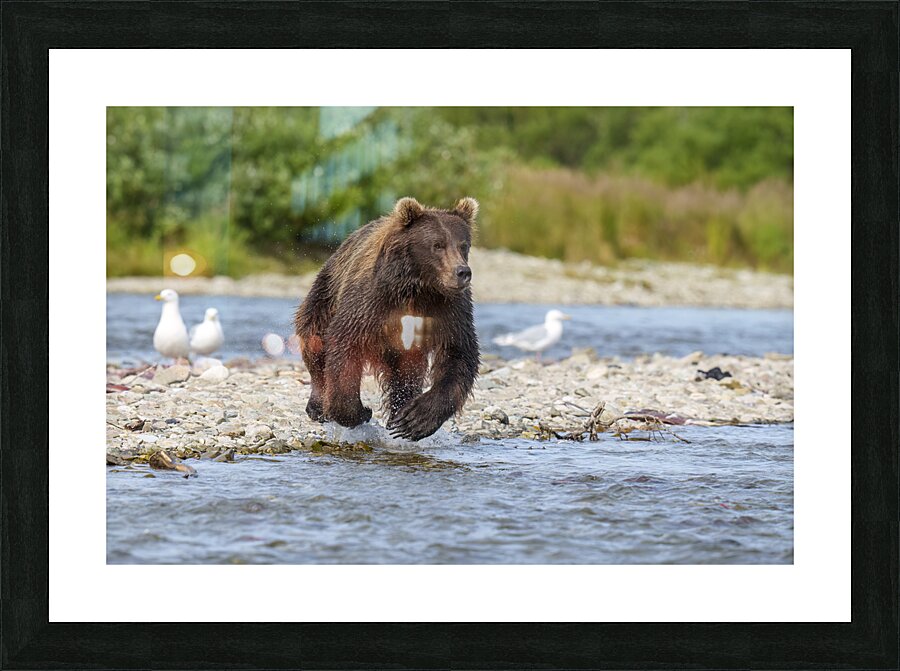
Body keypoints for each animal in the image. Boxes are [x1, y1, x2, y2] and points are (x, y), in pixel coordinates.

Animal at [294, 196, 480, 441]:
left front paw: (414, 420)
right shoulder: (372, 300)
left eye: (463, 245)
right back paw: (317, 405)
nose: (462, 272)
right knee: (314, 342)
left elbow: (459, 354)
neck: (417, 289)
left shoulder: (450, 309)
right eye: (437, 245)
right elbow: (345, 345)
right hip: (325, 293)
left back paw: (398, 411)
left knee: (406, 374)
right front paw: (359, 411)